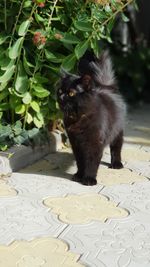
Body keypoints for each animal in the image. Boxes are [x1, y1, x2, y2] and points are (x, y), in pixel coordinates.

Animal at [56, 51, 126, 186]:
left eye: (71, 93)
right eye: (60, 91)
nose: (61, 97)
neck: (78, 117)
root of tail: (106, 86)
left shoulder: (94, 143)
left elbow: (91, 162)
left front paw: (89, 179)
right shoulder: (76, 143)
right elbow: (80, 161)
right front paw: (79, 175)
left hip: (117, 131)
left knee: (116, 148)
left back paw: (116, 164)